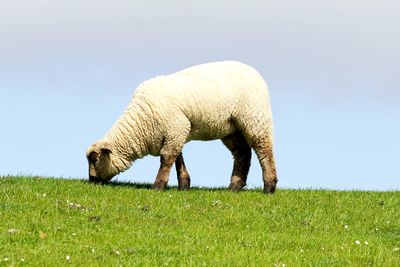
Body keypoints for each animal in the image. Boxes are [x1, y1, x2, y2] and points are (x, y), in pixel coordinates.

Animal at [86, 60, 276, 194]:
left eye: (94, 160)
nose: (91, 181)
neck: (141, 122)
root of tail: (255, 72)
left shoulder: (176, 127)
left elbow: (167, 158)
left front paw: (158, 186)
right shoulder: (175, 131)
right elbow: (178, 158)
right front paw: (184, 185)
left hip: (255, 117)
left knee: (264, 149)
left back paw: (269, 186)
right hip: (230, 128)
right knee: (242, 153)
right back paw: (234, 186)